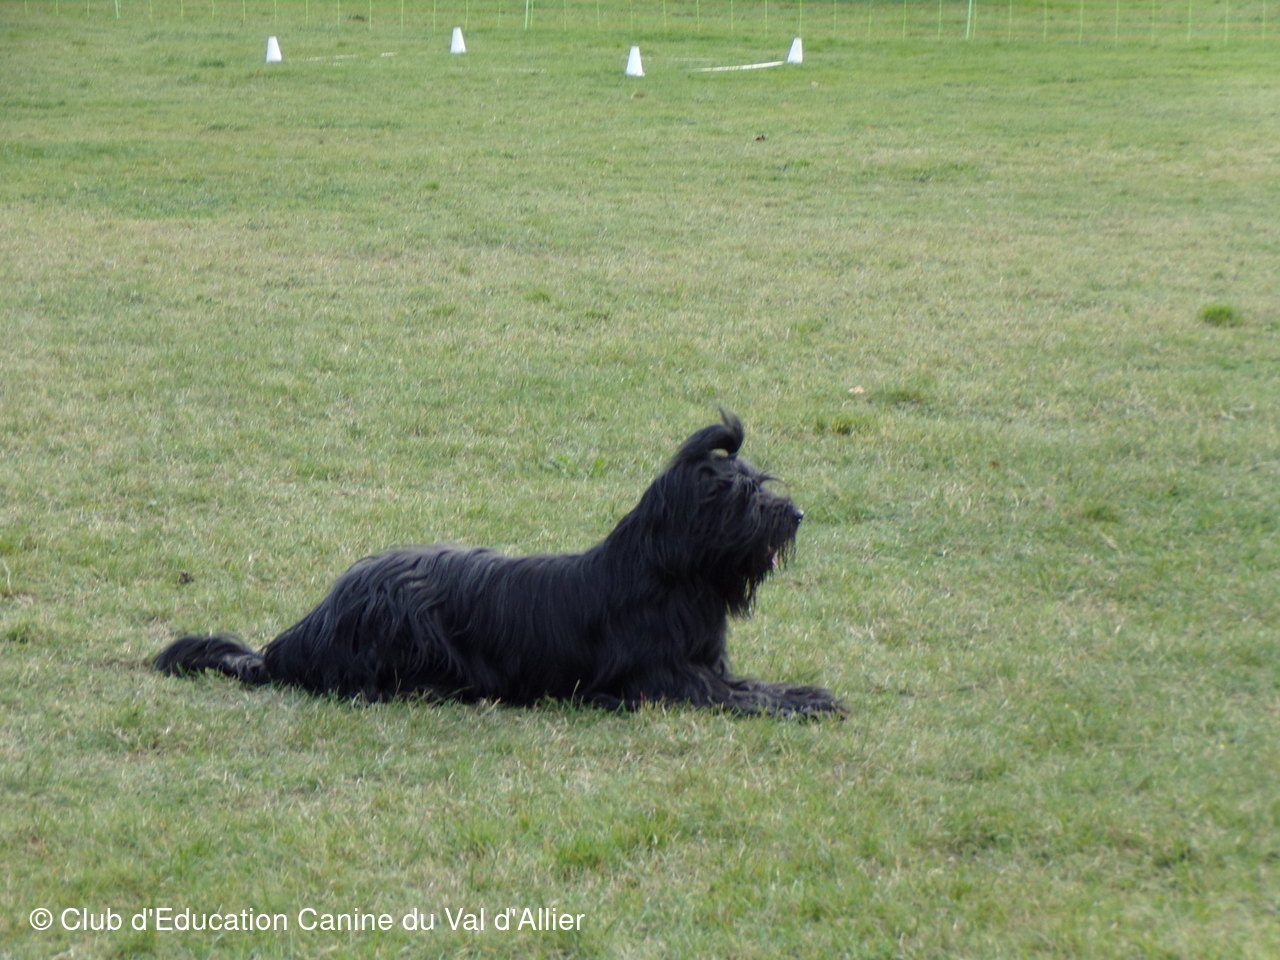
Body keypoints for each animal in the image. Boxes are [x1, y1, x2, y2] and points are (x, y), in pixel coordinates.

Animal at [153, 413, 845, 718]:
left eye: (762, 484)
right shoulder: (658, 679)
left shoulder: (706, 665)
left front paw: (804, 692)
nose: (797, 514)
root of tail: (297, 636)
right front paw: (804, 705)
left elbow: (752, 686)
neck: (671, 577)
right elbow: (730, 697)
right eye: (744, 494)